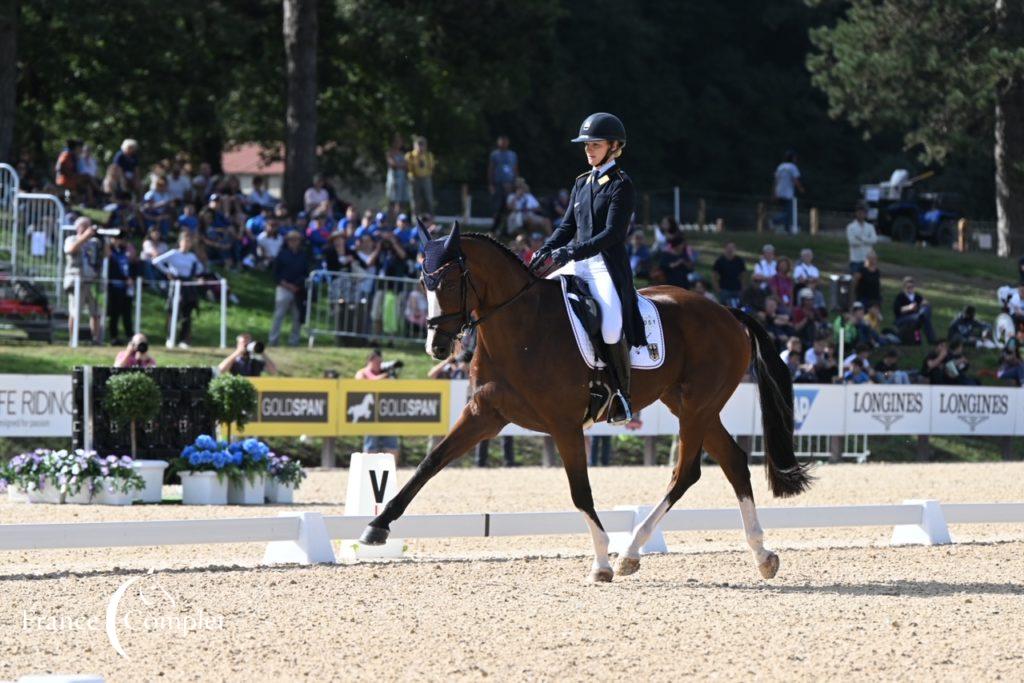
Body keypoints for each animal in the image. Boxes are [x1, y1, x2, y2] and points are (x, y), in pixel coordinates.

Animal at [364, 225, 811, 581]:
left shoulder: (563, 423)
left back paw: (630, 552)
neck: (520, 326)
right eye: (424, 282)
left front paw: (601, 563)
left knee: (686, 472)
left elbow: (580, 491)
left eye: (450, 281)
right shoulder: (484, 414)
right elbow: (431, 462)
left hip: (697, 406)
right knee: (733, 461)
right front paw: (377, 525)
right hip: (688, 405)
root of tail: (728, 312)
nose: (437, 348)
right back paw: (761, 555)